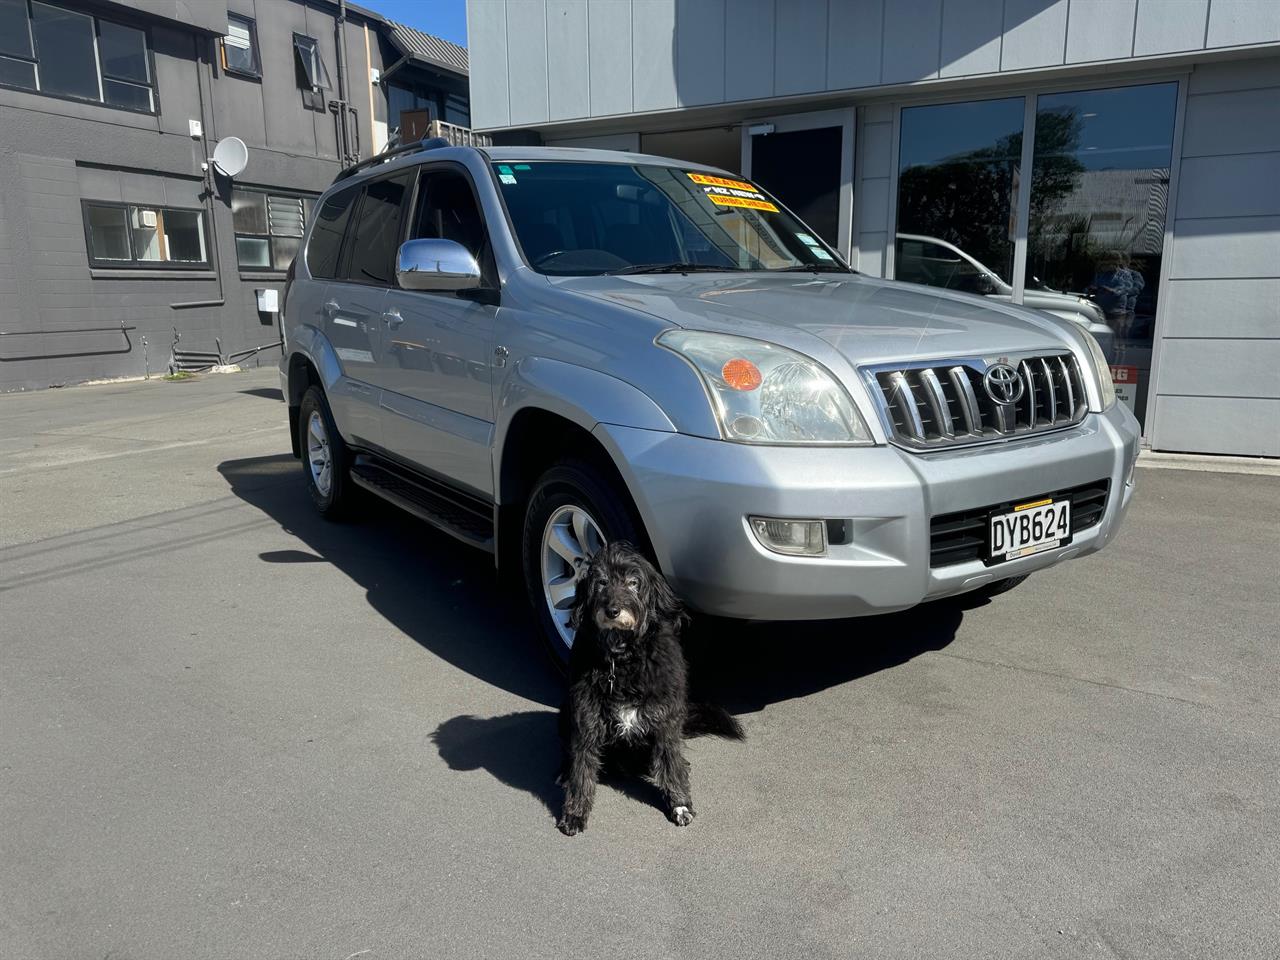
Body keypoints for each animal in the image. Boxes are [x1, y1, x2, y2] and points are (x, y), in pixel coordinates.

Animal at [555, 545, 747, 839]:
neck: (622, 659)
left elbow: (670, 761)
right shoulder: (586, 717)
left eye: (633, 583)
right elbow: (583, 768)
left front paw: (679, 804)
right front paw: (575, 812)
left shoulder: (666, 718)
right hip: (567, 712)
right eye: (601, 582)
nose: (612, 610)